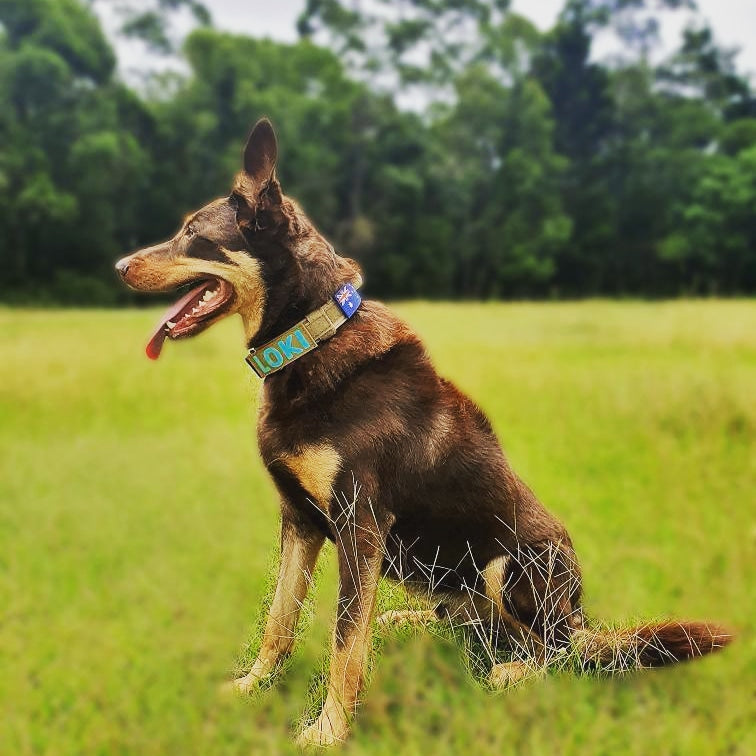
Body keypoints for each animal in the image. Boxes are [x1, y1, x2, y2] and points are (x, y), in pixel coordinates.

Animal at [116, 119, 732, 752]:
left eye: (193, 234)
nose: (119, 267)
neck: (309, 339)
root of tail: (584, 618)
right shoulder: (299, 520)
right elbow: (280, 620)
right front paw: (251, 685)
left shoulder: (359, 523)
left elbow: (344, 642)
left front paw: (328, 730)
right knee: (472, 625)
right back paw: (407, 621)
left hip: (510, 565)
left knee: (557, 653)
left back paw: (509, 672)